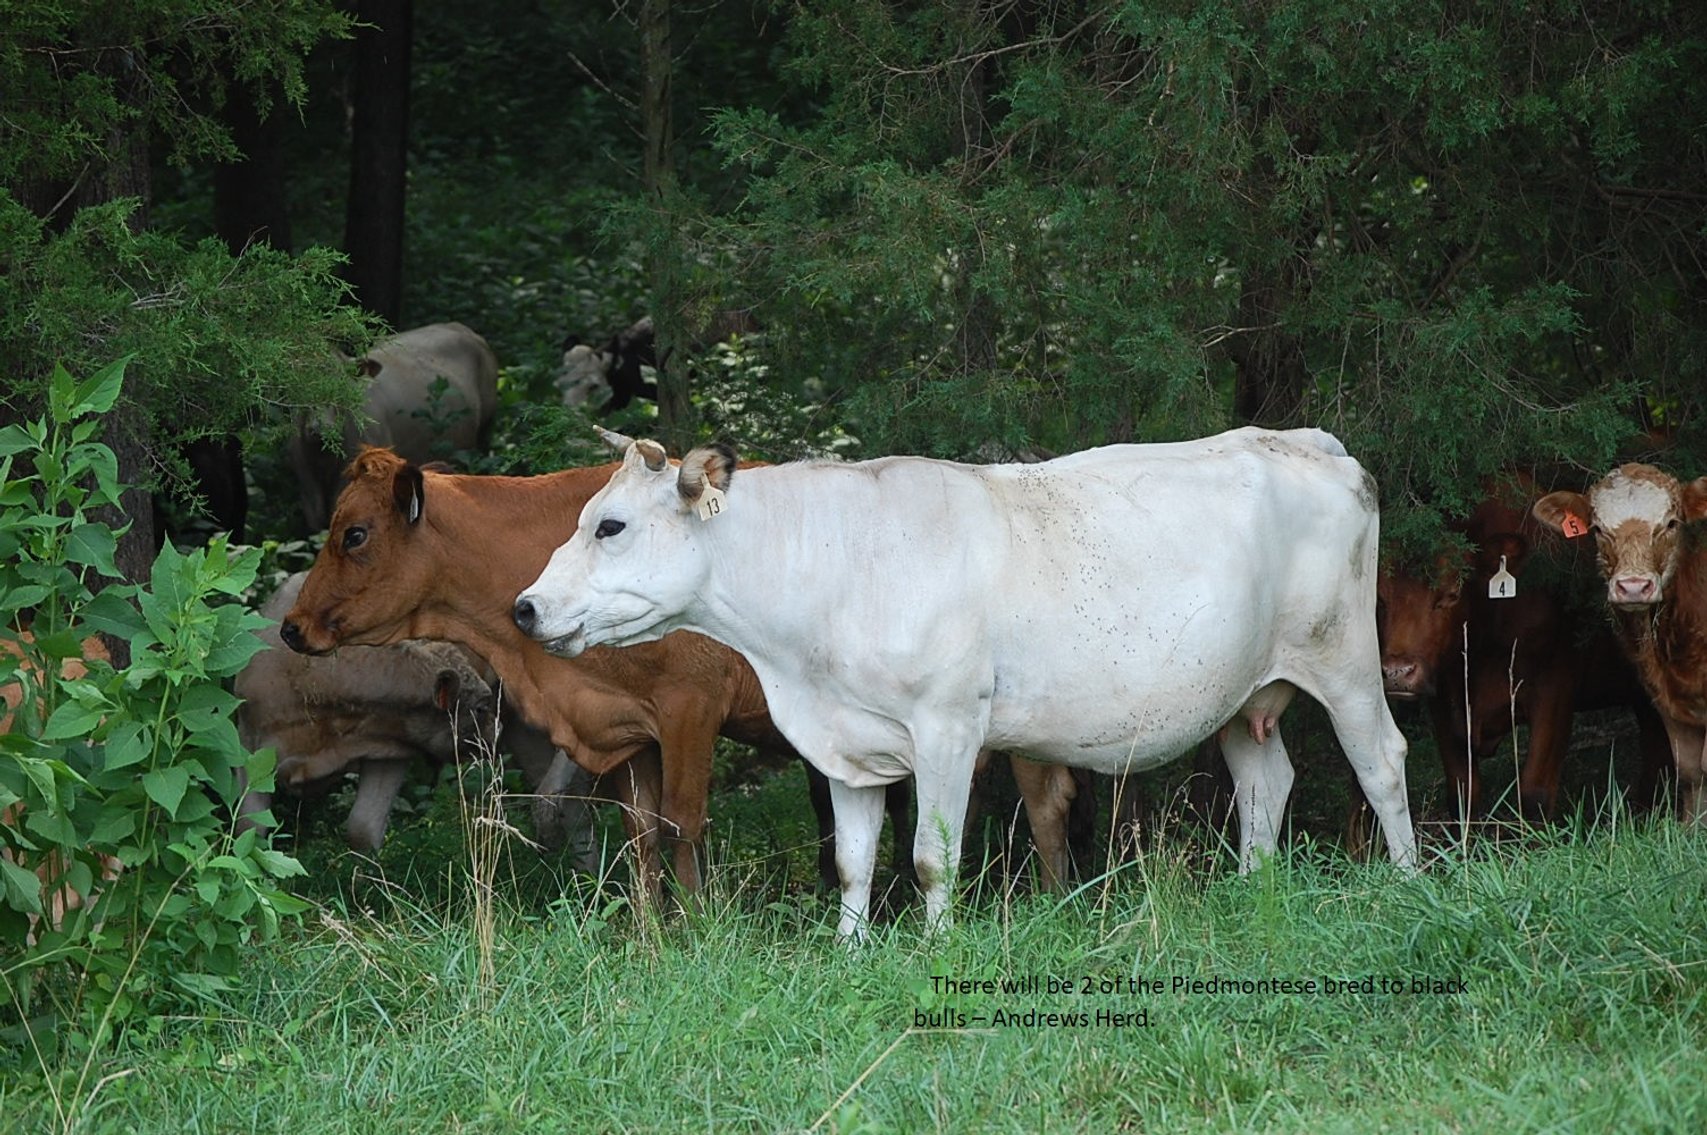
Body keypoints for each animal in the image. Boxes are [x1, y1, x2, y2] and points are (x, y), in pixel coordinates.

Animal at [291, 322, 500, 531]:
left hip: (486, 433)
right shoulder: (307, 492)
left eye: (343, 385)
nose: (321, 428)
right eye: (300, 387)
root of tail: (460, 327)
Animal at [511, 428, 1419, 936]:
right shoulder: (846, 744)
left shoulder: (947, 725)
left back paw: (1408, 883)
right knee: (1266, 781)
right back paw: (1251, 894)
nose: (524, 606)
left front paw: (935, 949)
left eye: (610, 525)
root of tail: (1303, 440)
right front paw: (849, 953)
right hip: (1241, 692)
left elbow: (929, 857)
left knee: (1381, 761)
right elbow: (852, 861)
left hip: (1343, 657)